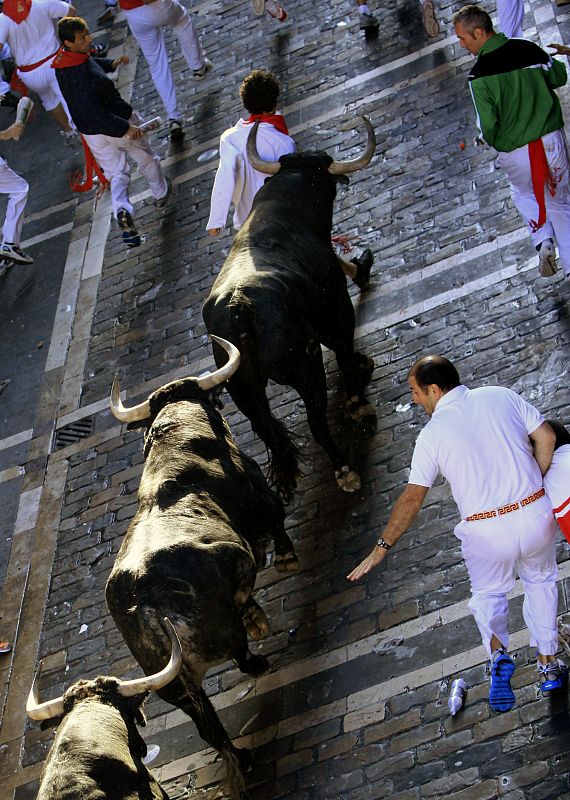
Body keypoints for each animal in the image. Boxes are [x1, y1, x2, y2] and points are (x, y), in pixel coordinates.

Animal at [104, 336, 298, 800]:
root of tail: (145, 601)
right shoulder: (262, 498)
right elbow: (277, 521)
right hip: (219, 635)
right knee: (240, 655)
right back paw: (258, 652)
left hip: (171, 686)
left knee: (208, 727)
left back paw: (241, 757)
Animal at [202, 115, 374, 504]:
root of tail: (239, 304)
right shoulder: (336, 309)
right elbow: (343, 347)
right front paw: (356, 395)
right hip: (304, 368)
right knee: (316, 420)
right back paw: (345, 470)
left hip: (243, 390)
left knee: (265, 428)